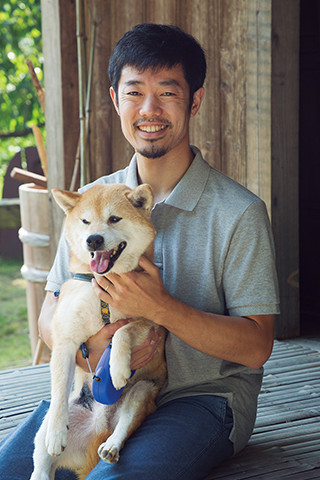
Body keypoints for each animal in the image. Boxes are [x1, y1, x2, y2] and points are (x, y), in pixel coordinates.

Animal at [30, 184, 168, 480]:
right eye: (85, 221)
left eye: (114, 219)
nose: (93, 240)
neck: (102, 286)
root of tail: (98, 427)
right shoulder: (65, 340)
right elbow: (59, 392)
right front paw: (57, 433)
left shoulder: (151, 321)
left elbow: (121, 332)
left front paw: (117, 368)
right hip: (48, 430)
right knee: (41, 463)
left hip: (142, 391)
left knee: (125, 424)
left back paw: (111, 446)